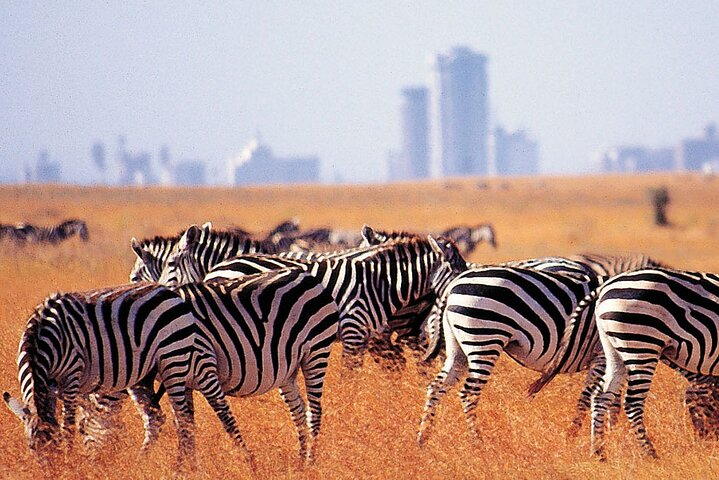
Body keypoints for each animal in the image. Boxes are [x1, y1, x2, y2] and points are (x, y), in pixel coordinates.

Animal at [0, 284, 245, 470]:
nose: (52, 473)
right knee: (159, 417)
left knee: (186, 417)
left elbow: (67, 426)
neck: (42, 338)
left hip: (174, 359)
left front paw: (71, 461)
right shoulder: (51, 386)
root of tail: (169, 291)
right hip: (146, 375)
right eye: (31, 447)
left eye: (55, 445)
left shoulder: (71, 378)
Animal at [528, 268, 719, 460]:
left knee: (601, 396)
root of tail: (605, 287)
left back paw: (599, 453)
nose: (708, 442)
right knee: (633, 403)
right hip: (641, 344)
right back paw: (651, 455)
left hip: (613, 349)